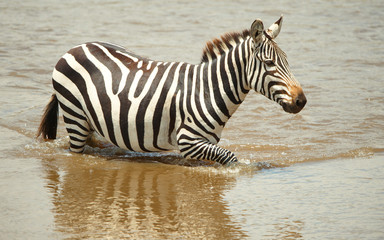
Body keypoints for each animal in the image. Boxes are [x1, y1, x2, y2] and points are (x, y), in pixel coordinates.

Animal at [36, 15, 306, 165]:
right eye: (270, 63)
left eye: (287, 61)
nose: (301, 101)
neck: (208, 90)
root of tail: (75, 48)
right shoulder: (188, 140)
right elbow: (231, 158)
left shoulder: (202, 144)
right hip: (75, 116)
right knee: (75, 153)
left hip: (91, 119)